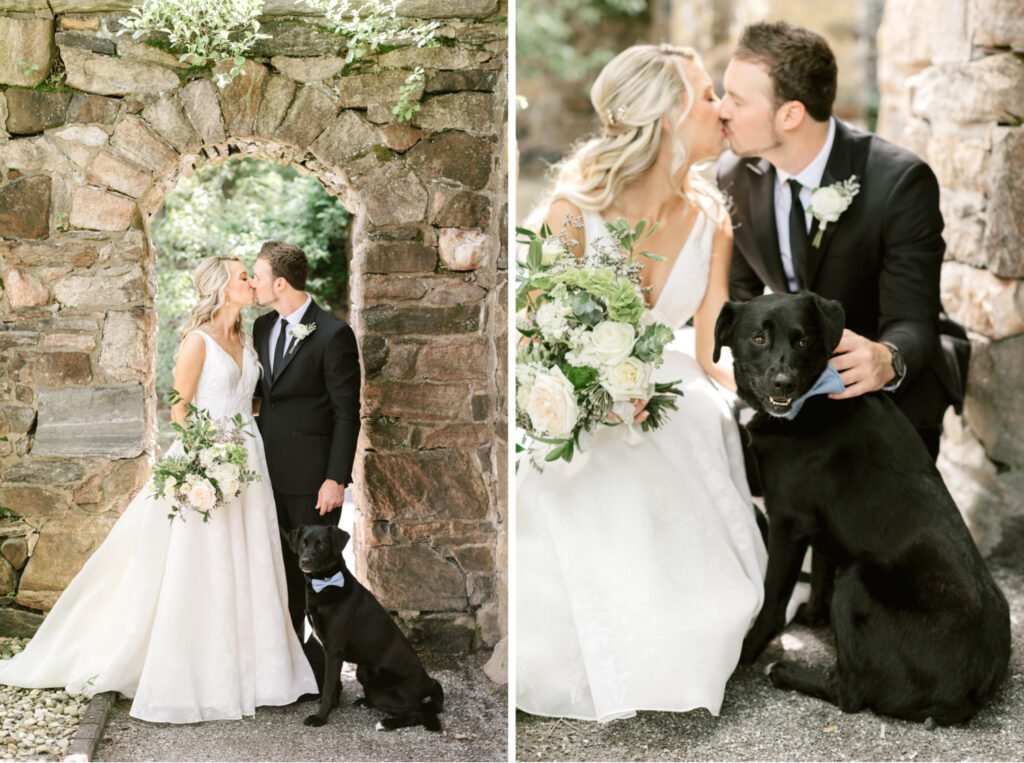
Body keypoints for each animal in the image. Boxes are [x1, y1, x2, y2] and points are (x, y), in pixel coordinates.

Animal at [286, 524, 442, 725]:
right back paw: (364, 702)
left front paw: (320, 717)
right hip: (363, 670)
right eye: (303, 543)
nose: (305, 561)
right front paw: (333, 706)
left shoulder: (334, 649)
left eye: (322, 545)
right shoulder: (330, 650)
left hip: (381, 691)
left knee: (416, 712)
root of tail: (428, 683)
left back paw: (385, 723)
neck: (327, 585)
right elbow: (334, 683)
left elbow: (328, 686)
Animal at [716, 288, 1011, 725]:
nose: (784, 383)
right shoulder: (815, 526)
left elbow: (772, 601)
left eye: (803, 341)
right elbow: (821, 567)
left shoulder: (787, 521)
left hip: (857, 579)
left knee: (850, 694)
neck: (816, 396)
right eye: (758, 338)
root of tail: (968, 694)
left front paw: (744, 655)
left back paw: (784, 672)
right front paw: (812, 615)